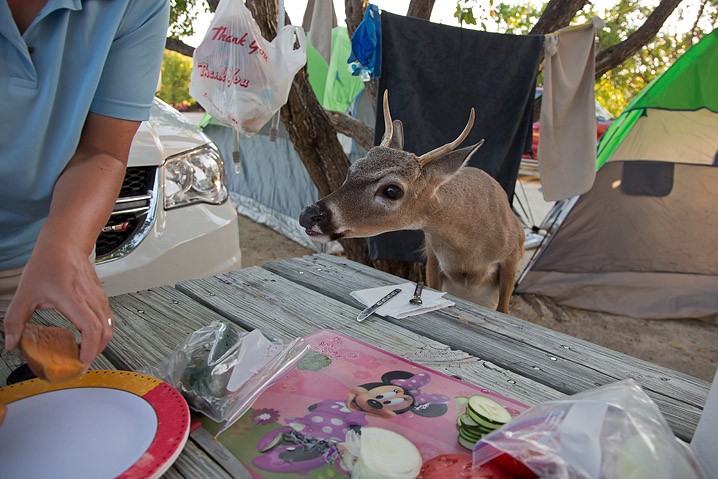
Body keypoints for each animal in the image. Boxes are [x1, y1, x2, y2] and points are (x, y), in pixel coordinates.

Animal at [298, 92, 524, 314]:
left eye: (391, 190)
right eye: (352, 169)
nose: (308, 216)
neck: (469, 252)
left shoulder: (513, 256)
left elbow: (504, 310)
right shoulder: (432, 257)